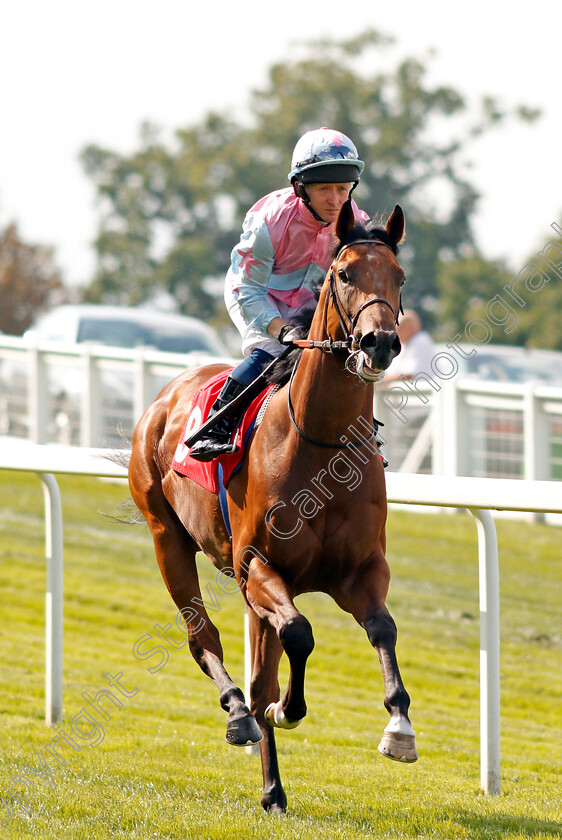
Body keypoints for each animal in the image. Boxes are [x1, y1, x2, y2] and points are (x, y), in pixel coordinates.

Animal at [127, 199, 416, 812]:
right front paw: (289, 708)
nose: (379, 343)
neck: (322, 444)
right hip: (167, 538)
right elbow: (299, 636)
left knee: (260, 667)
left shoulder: (360, 570)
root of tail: (165, 397)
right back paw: (240, 716)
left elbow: (382, 629)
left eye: (399, 277)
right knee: (206, 642)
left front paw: (399, 727)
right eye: (344, 273)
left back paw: (273, 787)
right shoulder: (256, 563)